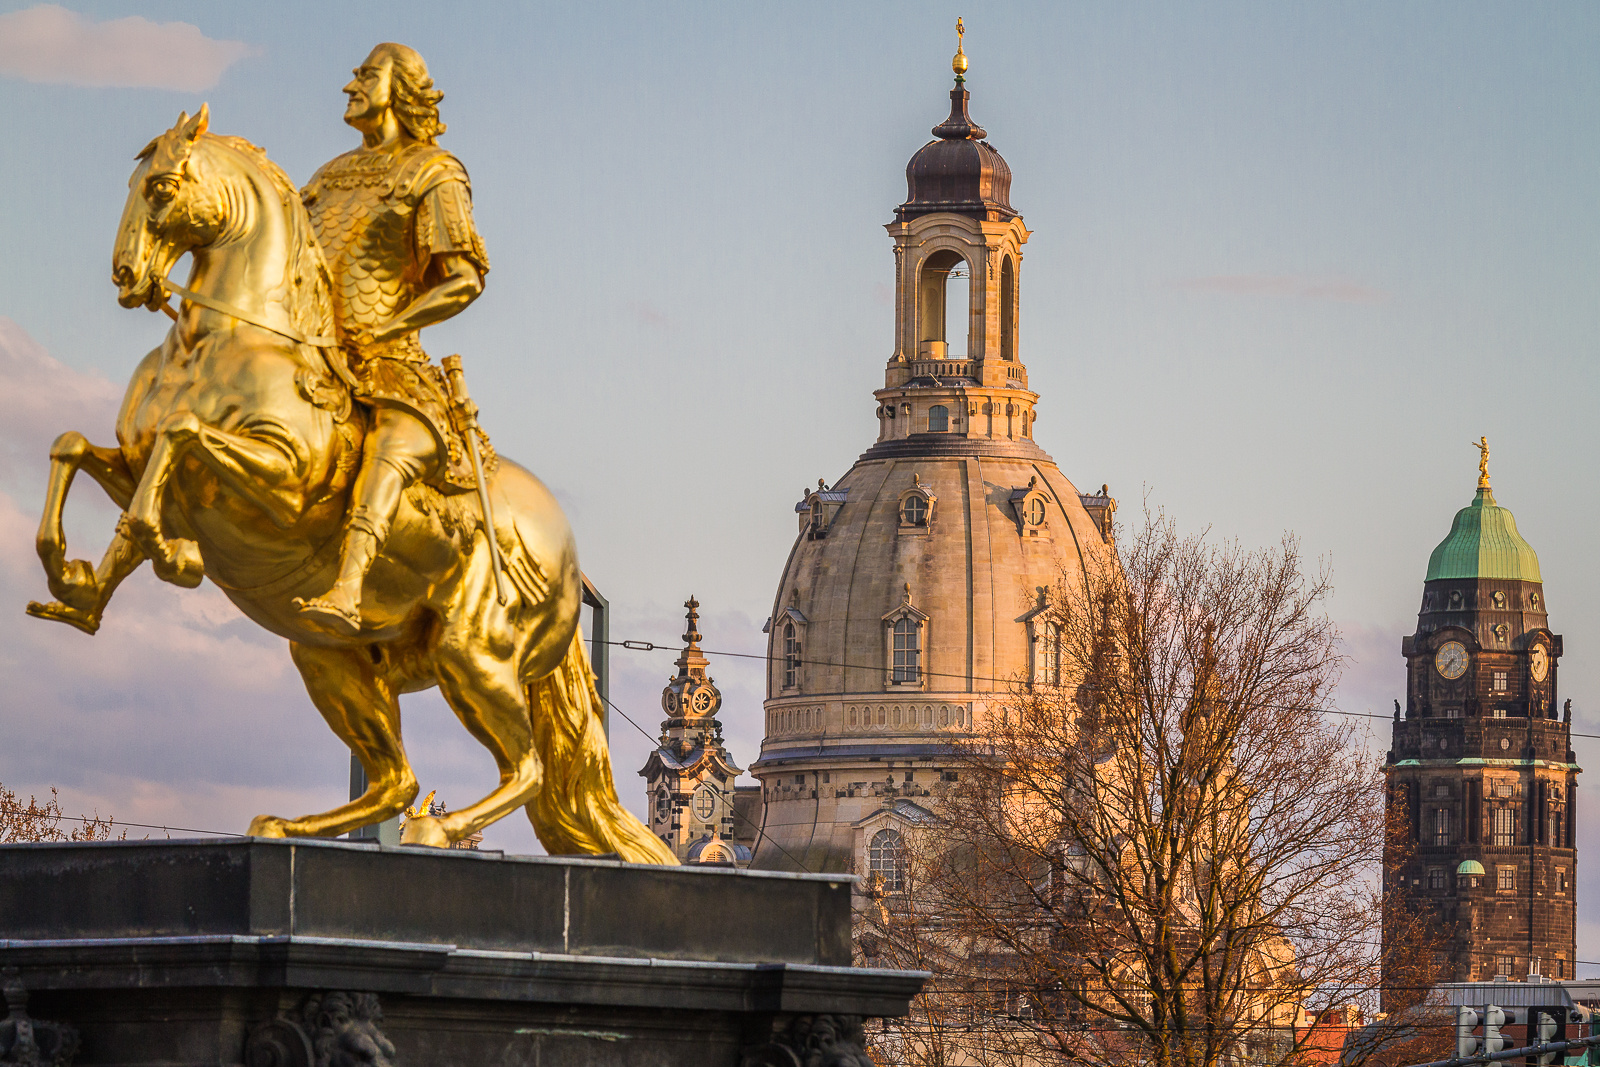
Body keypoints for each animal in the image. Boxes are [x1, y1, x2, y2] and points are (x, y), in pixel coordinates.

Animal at [32, 103, 668, 863]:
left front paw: (169, 552)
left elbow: (179, 438)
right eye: (132, 182)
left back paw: (435, 826)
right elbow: (76, 447)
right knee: (396, 779)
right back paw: (289, 825)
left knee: (527, 769)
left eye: (160, 186)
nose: (127, 275)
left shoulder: (286, 483)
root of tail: (568, 555)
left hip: (472, 653)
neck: (223, 341)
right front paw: (75, 583)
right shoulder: (131, 462)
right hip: (328, 658)